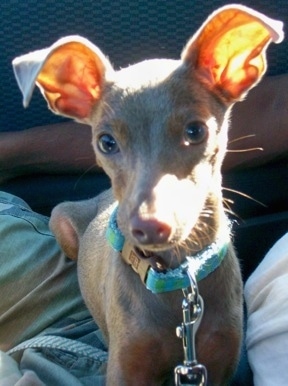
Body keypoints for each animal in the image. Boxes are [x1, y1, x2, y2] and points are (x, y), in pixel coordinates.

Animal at [12, 4, 282, 384]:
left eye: (196, 130)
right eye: (106, 142)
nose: (150, 226)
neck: (177, 277)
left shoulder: (219, 361)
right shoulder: (128, 364)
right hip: (60, 219)